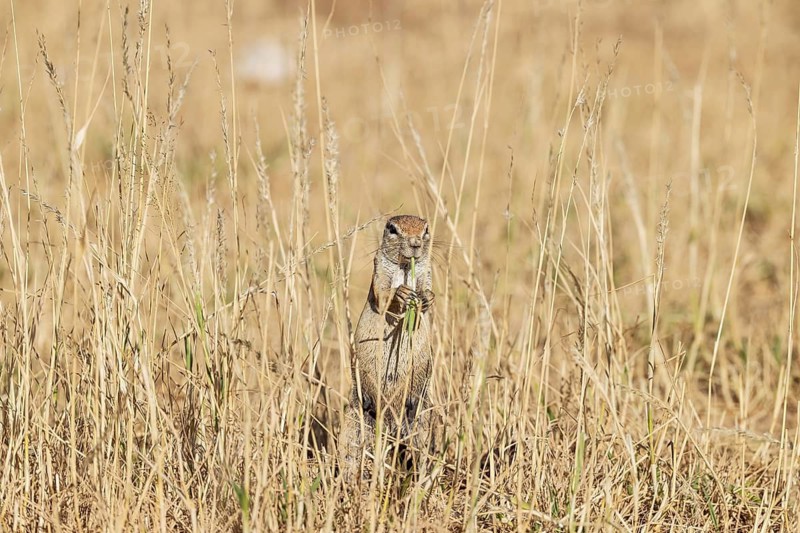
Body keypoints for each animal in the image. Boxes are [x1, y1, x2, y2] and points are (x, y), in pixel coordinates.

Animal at [339, 215, 436, 481]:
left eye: (425, 229)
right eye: (392, 229)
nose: (415, 244)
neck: (405, 267)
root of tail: (392, 424)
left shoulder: (427, 271)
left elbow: (427, 289)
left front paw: (426, 298)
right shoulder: (379, 272)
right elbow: (383, 295)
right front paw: (401, 294)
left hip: (423, 419)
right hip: (355, 422)